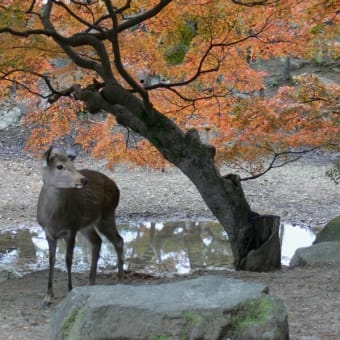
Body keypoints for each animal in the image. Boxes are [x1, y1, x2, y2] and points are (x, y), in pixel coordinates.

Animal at [36, 145, 123, 306]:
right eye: (59, 166)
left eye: (73, 165)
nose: (83, 180)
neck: (54, 219)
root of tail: (116, 187)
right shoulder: (48, 232)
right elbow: (51, 260)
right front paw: (48, 297)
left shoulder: (71, 229)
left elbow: (68, 259)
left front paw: (70, 290)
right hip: (86, 225)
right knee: (97, 241)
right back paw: (91, 283)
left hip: (106, 215)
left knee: (118, 240)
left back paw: (120, 279)